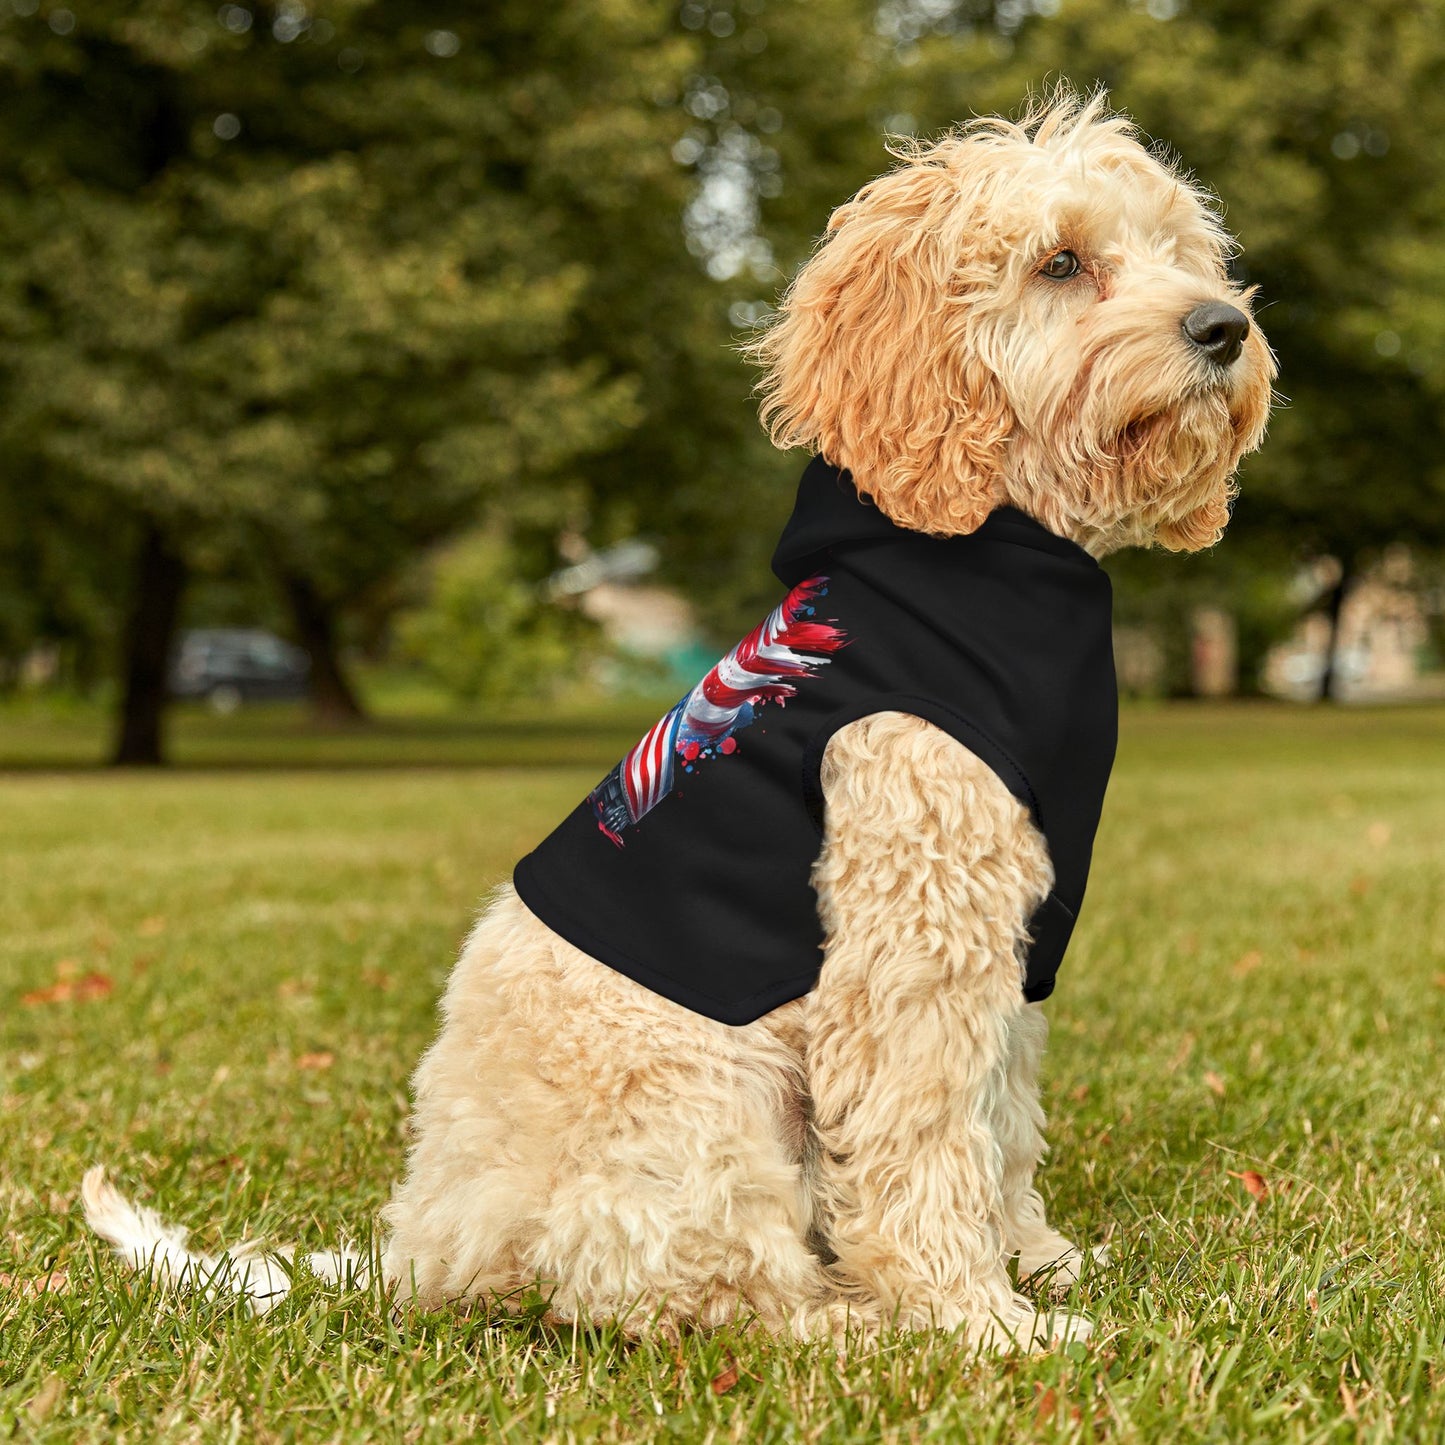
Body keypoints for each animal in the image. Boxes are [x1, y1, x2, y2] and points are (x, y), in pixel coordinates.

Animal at [84, 93, 1271, 1352]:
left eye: (1180, 251)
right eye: (1059, 262)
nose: (1222, 327)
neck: (982, 549)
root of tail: (423, 1247)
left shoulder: (1009, 939)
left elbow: (999, 1118)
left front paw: (1035, 1260)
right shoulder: (911, 934)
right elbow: (924, 1137)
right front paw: (976, 1319)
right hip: (705, 1101)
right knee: (701, 1292)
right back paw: (852, 1322)